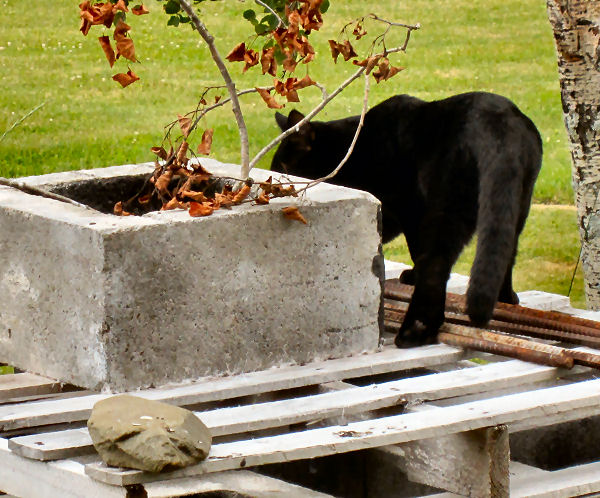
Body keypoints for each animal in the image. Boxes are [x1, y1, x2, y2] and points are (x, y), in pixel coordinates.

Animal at [272, 92, 544, 346]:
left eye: (284, 168)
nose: (275, 184)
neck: (354, 148)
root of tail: (499, 124)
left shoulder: (409, 207)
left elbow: (416, 251)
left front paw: (412, 276)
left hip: (446, 205)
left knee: (435, 262)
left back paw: (416, 330)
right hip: (516, 203)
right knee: (505, 251)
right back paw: (506, 299)